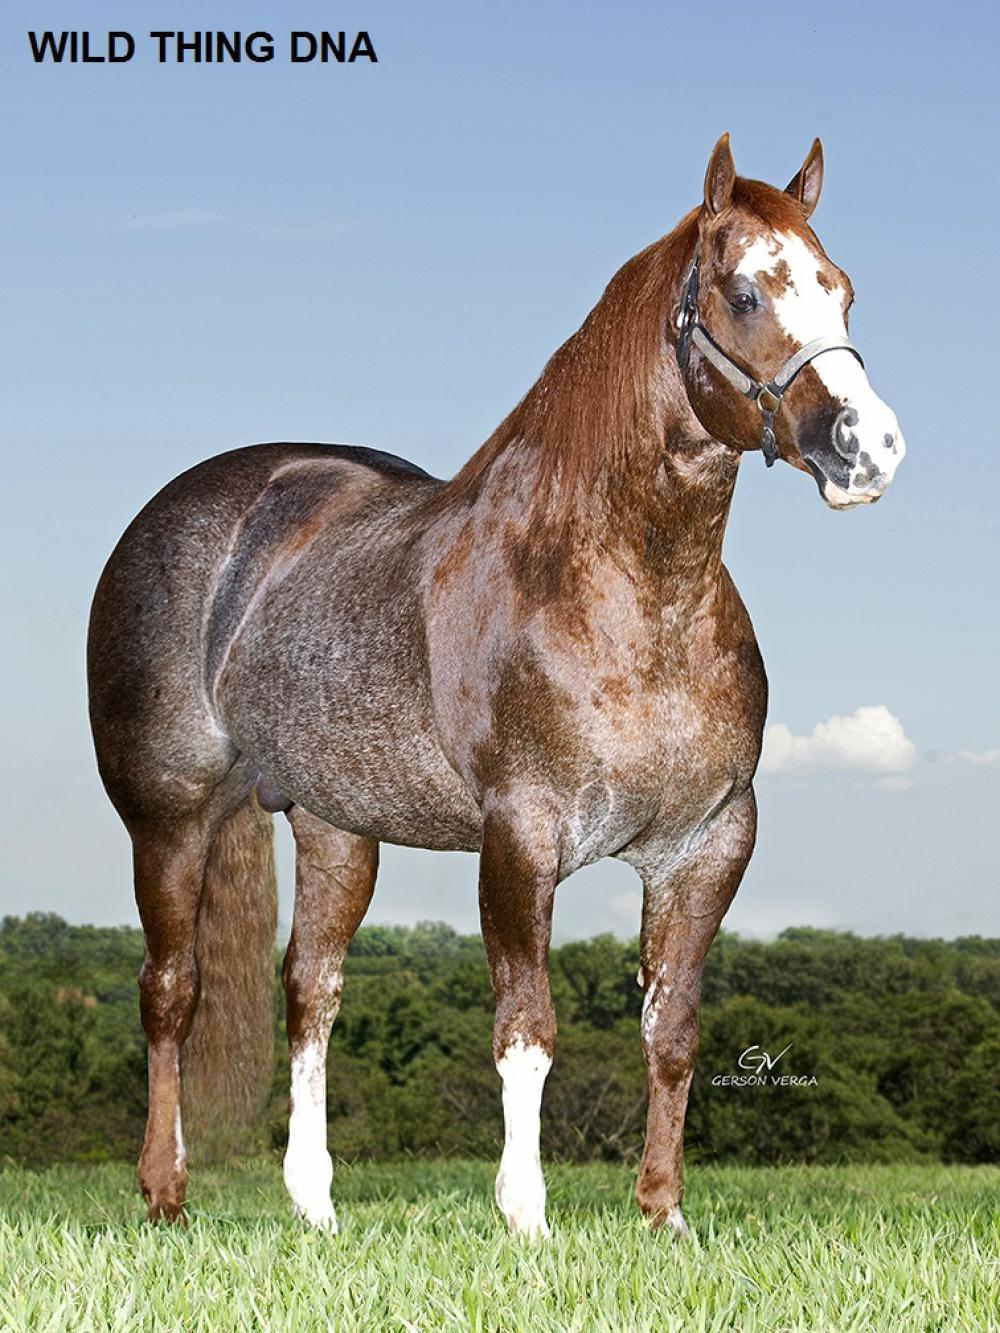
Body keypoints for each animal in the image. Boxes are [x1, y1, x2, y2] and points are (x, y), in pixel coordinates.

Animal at [87, 134, 904, 1238]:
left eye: (841, 289)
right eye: (743, 292)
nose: (870, 446)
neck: (627, 596)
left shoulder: (709, 843)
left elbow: (672, 1031)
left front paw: (662, 1214)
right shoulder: (521, 835)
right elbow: (526, 1027)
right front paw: (526, 1216)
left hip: (334, 826)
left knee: (311, 988)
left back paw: (315, 1204)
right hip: (168, 820)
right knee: (170, 990)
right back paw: (164, 1191)